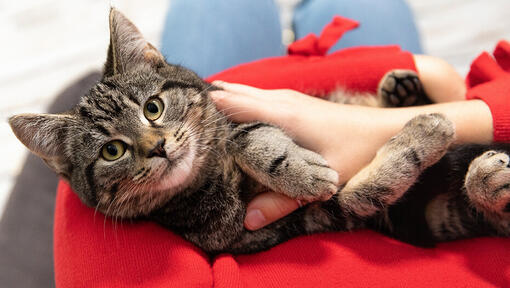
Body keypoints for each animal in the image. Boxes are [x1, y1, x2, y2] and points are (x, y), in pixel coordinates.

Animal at [8, 8, 510, 254]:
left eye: (153, 108)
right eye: (112, 151)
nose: (158, 148)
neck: (213, 177)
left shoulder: (236, 109)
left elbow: (248, 132)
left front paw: (294, 166)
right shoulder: (301, 219)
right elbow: (360, 192)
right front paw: (426, 130)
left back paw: (405, 91)